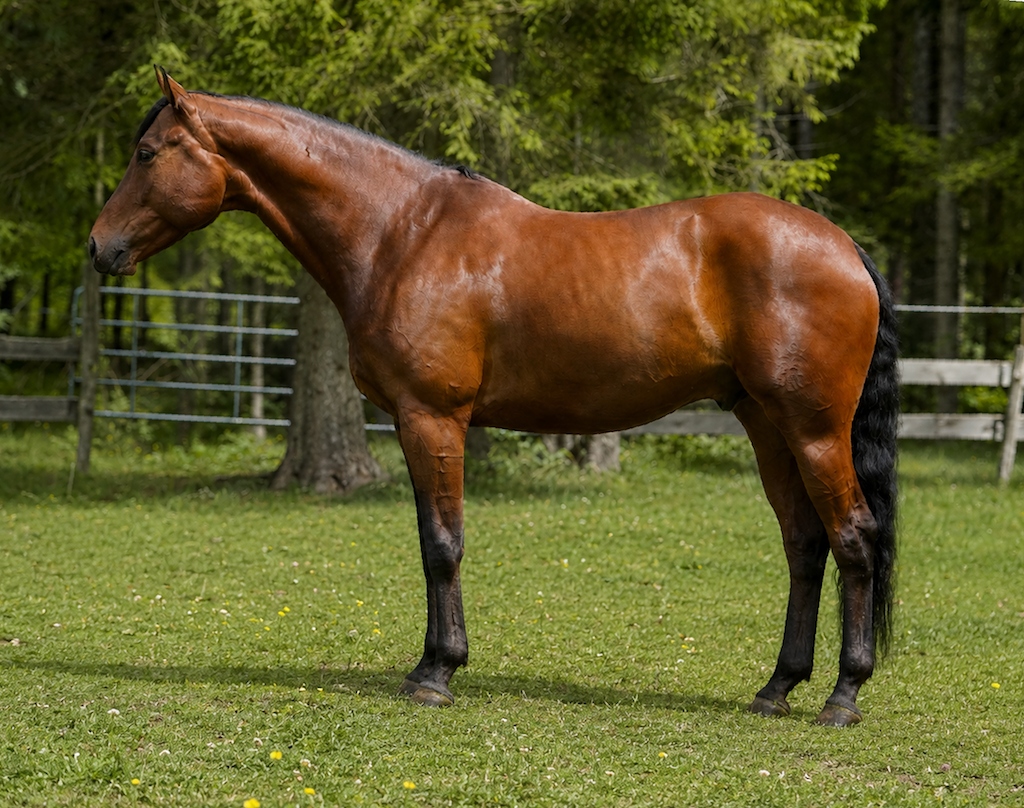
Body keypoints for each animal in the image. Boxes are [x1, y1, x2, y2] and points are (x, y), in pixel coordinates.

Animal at [89, 67, 899, 727]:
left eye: (147, 153)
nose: (99, 246)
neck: (402, 233)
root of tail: (845, 247)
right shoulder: (413, 422)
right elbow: (429, 540)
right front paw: (427, 663)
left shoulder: (432, 417)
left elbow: (443, 544)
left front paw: (438, 675)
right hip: (766, 424)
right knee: (804, 544)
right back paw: (777, 688)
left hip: (814, 429)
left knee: (854, 536)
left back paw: (842, 696)